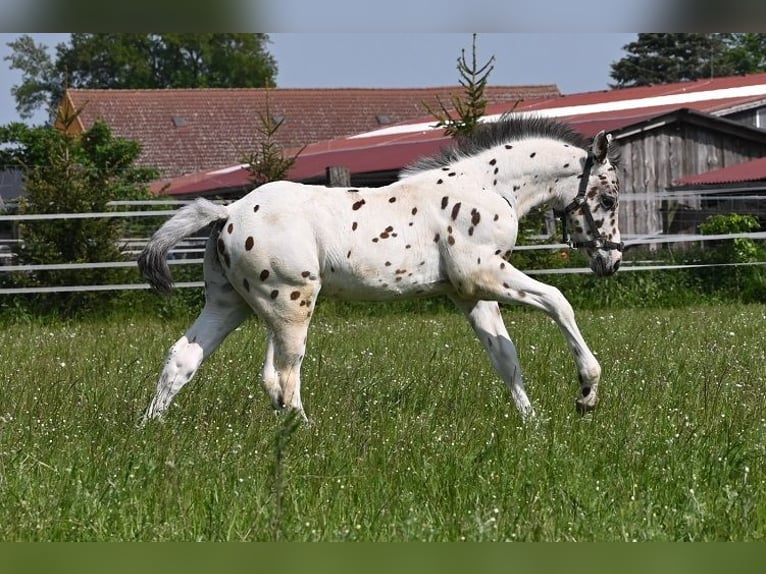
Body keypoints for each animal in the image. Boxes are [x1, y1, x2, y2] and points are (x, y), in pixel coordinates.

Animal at [140, 115, 624, 426]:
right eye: (609, 198)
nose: (613, 260)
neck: (487, 186)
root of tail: (228, 211)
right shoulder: (484, 273)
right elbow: (559, 302)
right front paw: (586, 394)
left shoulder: (468, 293)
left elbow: (504, 355)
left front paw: (533, 423)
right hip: (291, 304)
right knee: (282, 376)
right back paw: (306, 435)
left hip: (230, 304)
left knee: (183, 357)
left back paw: (149, 428)